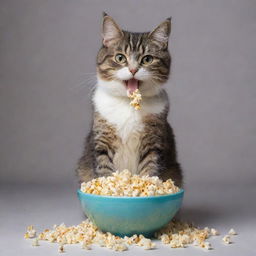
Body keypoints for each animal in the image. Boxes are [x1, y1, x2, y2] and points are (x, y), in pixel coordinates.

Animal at [75, 13, 183, 187]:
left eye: (147, 59)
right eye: (120, 58)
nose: (133, 70)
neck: (128, 103)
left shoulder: (153, 142)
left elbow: (150, 168)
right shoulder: (102, 139)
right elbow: (104, 167)